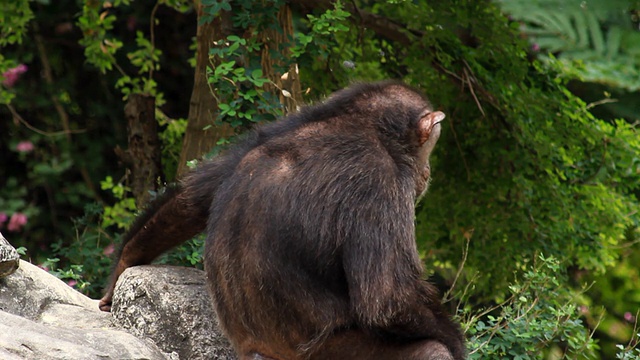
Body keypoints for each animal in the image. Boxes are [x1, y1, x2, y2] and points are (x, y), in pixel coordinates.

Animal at [102, 81, 468, 360]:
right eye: (429, 147)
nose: (427, 171)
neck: (362, 126)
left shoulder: (265, 133)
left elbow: (190, 199)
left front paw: (119, 269)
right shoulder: (379, 181)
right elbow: (389, 298)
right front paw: (455, 339)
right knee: (428, 351)